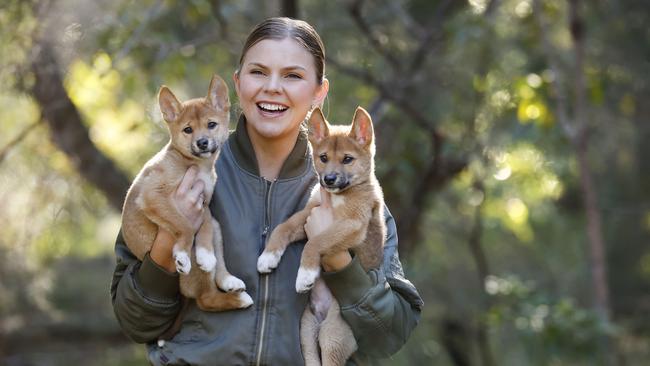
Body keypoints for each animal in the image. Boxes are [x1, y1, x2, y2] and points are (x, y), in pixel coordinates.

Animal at [120, 76, 252, 314]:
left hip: (219, 229)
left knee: (217, 267)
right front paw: (182, 254)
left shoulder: (204, 203)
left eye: (211, 124)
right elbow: (186, 226)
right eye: (188, 129)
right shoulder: (154, 196)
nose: (202, 143)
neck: (197, 166)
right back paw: (238, 298)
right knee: (207, 299)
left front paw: (206, 253)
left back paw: (229, 280)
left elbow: (205, 224)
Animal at [256, 106, 384, 366]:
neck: (337, 196)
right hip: (306, 333)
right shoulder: (307, 214)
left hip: (332, 336)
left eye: (347, 159)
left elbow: (315, 242)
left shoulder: (352, 224)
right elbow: (282, 228)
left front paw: (305, 274)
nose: (329, 179)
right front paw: (268, 257)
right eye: (323, 157)